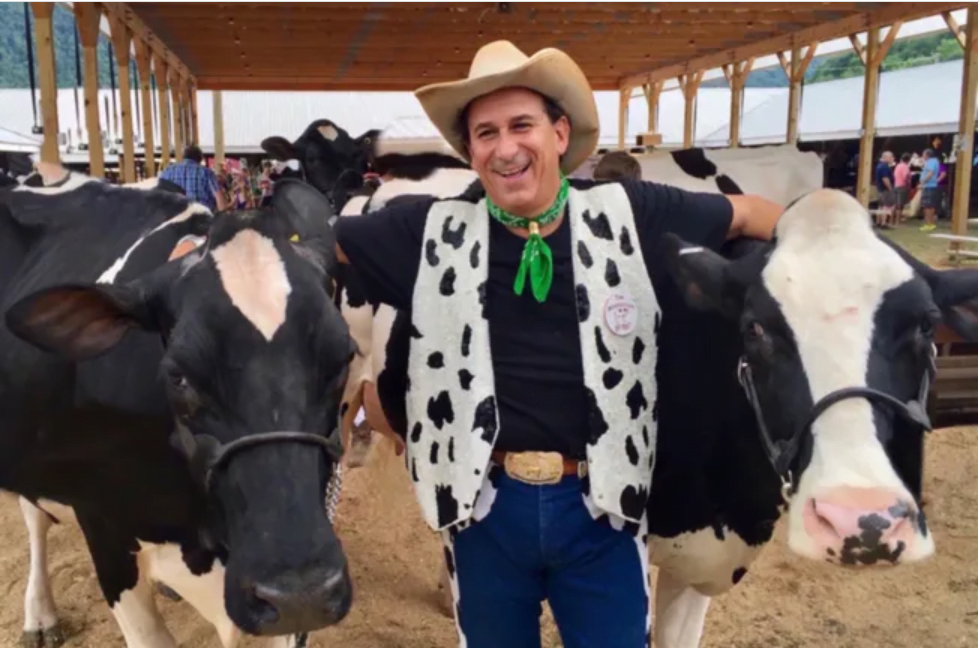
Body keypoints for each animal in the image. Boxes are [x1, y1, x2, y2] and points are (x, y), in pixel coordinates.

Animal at [2, 166, 356, 648]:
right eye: (178, 375)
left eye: (344, 359)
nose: (300, 593)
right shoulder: (103, 527)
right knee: (32, 517)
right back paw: (40, 615)